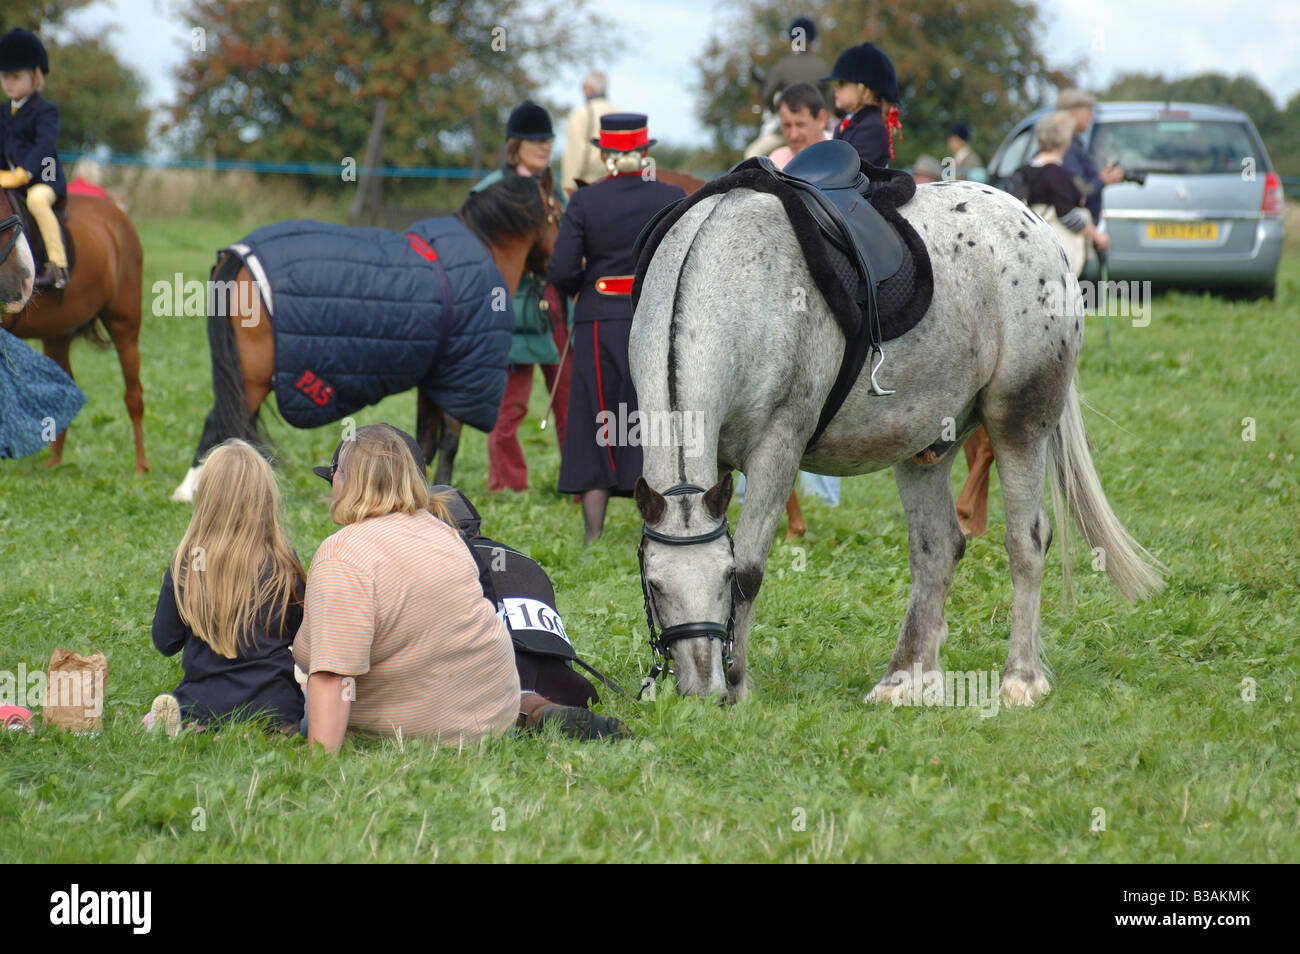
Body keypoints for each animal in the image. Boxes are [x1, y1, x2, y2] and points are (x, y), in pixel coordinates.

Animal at [0, 193, 147, 475]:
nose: (24, 276)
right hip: (57, 335)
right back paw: (53, 460)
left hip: (124, 327)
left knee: (133, 396)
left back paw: (140, 467)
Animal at [172, 174, 559, 501]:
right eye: (557, 212)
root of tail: (239, 256)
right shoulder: (461, 377)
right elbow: (449, 442)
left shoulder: (434, 379)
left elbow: (426, 440)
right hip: (252, 377)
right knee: (220, 421)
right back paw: (191, 490)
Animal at [624, 143, 1164, 712]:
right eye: (655, 586)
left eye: (723, 578)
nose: (700, 688)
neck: (724, 275)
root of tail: (1038, 228)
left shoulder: (776, 452)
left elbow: (754, 568)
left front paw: (739, 685)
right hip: (927, 442)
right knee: (938, 549)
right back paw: (905, 676)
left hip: (1020, 422)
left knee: (1027, 540)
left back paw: (1020, 677)